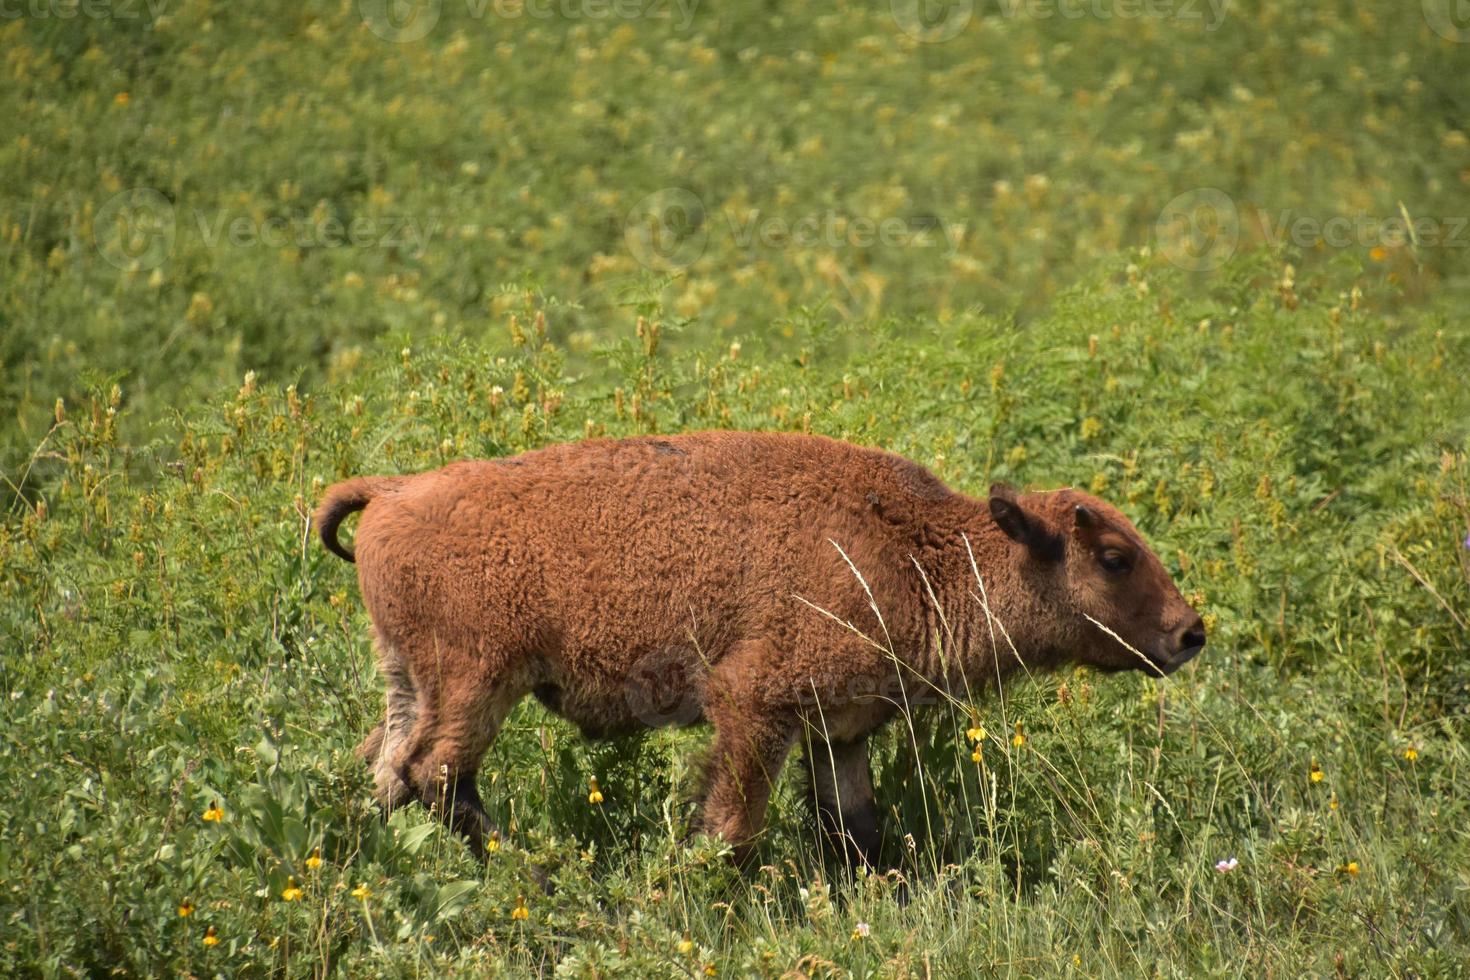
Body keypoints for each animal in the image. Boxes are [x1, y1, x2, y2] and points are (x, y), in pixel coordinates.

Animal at [316, 429, 1199, 863]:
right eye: (1112, 557)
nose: (1191, 633)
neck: (921, 548)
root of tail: (392, 491)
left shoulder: (839, 732)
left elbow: (858, 831)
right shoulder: (753, 709)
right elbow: (732, 826)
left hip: (410, 680)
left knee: (386, 771)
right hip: (477, 683)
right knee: (436, 775)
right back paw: (530, 867)